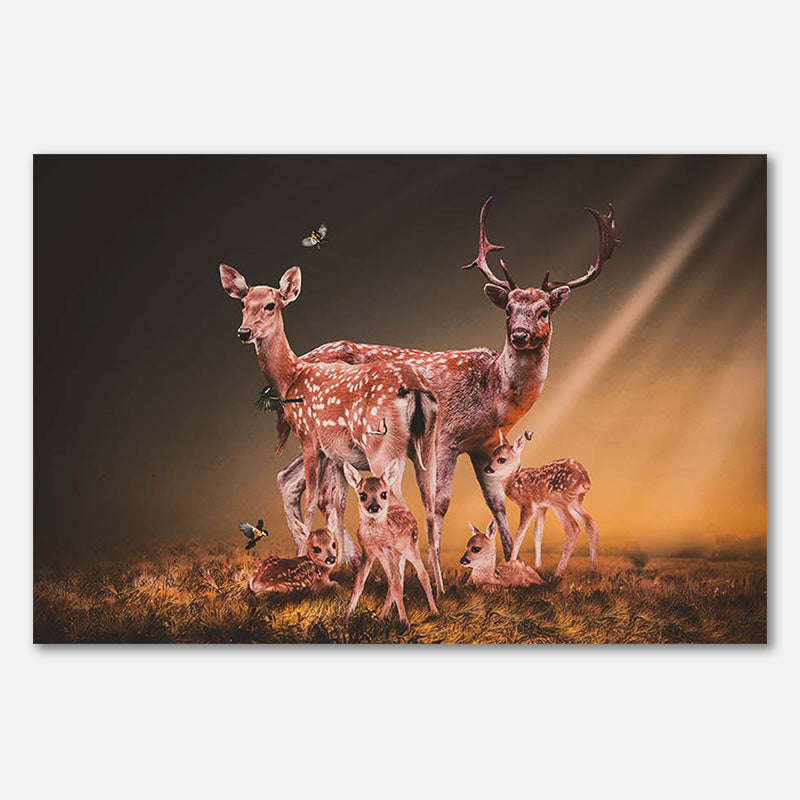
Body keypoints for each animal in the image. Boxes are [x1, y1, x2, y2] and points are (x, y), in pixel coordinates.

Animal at [219, 264, 443, 591]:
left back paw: (398, 578)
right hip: (427, 446)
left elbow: (312, 500)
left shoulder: (310, 438)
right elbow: (336, 502)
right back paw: (438, 586)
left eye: (271, 305)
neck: (292, 377)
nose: (244, 332)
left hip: (382, 446)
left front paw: (305, 556)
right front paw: (334, 562)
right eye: (243, 305)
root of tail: (412, 385)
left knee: (400, 506)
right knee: (430, 510)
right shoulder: (337, 454)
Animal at [343, 459, 438, 627]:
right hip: (391, 557)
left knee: (422, 574)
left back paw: (434, 611)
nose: (374, 507)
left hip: (410, 547)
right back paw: (381, 617)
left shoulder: (389, 549)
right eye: (362, 495)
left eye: (383, 493)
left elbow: (396, 586)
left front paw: (405, 623)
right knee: (394, 580)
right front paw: (347, 618)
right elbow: (358, 585)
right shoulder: (369, 552)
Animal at [483, 431, 598, 577]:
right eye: (491, 455)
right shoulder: (541, 507)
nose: (487, 469)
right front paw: (538, 565)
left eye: (501, 459)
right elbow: (537, 532)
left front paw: (512, 563)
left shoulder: (528, 504)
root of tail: (585, 480)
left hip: (559, 501)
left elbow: (519, 534)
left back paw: (558, 572)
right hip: (574, 502)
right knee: (590, 524)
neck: (514, 479)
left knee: (573, 529)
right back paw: (592, 570)